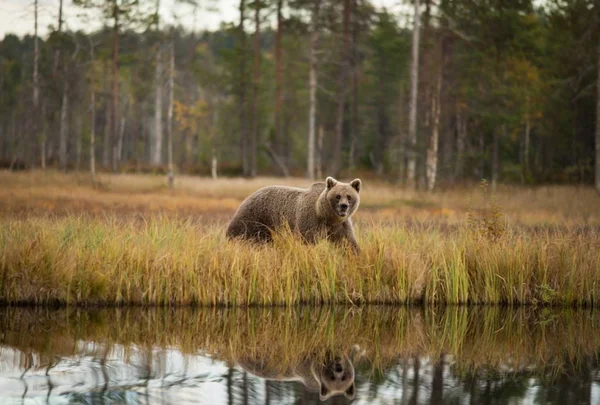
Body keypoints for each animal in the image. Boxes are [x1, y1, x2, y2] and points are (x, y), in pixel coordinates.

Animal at [225, 177, 360, 252]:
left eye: (349, 196)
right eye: (337, 196)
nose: (344, 206)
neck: (326, 216)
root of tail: (248, 196)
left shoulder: (340, 225)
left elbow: (347, 242)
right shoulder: (311, 221)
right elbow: (308, 241)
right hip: (255, 217)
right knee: (240, 231)